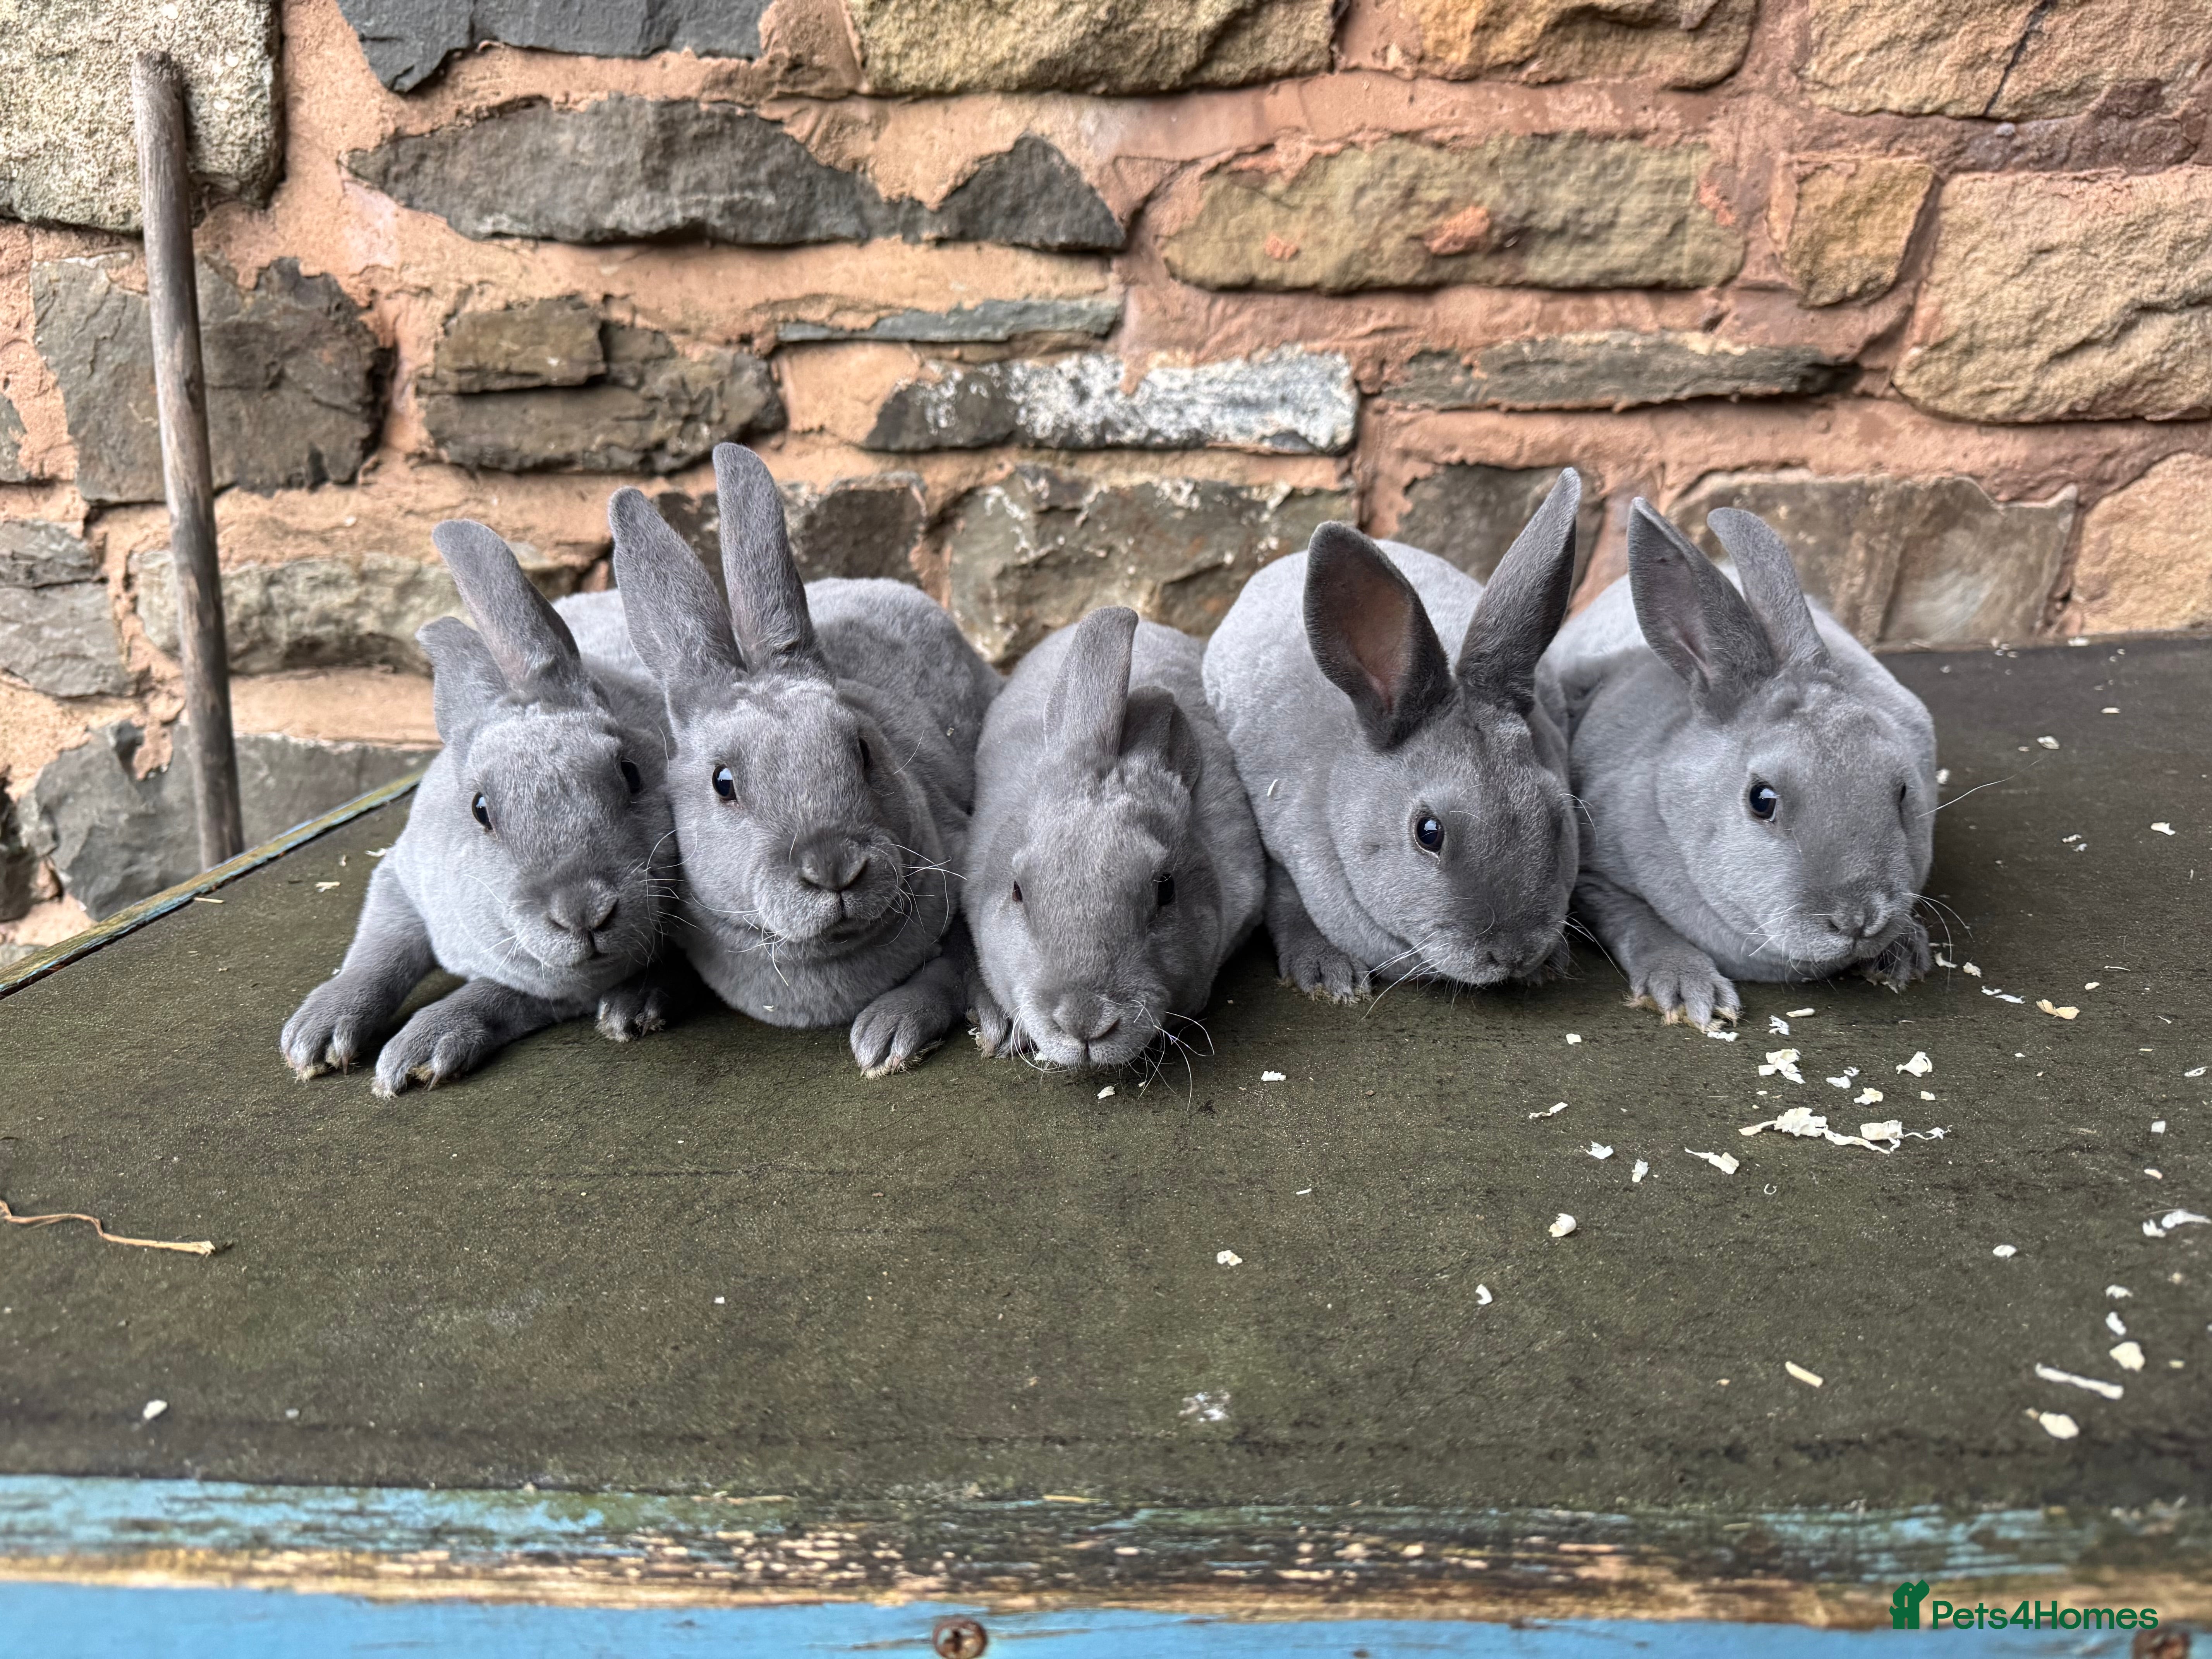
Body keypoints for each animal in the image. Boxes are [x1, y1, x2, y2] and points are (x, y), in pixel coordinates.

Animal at [280, 521, 680, 1095]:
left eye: (631, 774)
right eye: (480, 810)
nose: (584, 913)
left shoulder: (559, 988)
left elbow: (491, 994)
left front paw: (419, 1050)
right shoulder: (399, 881)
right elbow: (379, 955)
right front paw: (318, 1035)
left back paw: (633, 1008)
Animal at [609, 442, 1000, 1076]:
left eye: (861, 749)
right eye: (723, 782)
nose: (834, 867)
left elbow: (957, 961)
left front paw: (889, 1033)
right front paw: (631, 1004)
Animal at [1201, 471, 1583, 1003]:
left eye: (1557, 817)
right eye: (1429, 833)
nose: (1514, 955)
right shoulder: (1279, 855)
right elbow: (1289, 907)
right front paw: (1330, 975)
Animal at [1545, 498, 1937, 1029]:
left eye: (1901, 791)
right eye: (1762, 800)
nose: (1859, 919)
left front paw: (1905, 953)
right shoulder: (1595, 882)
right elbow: (1641, 924)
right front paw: (1692, 992)